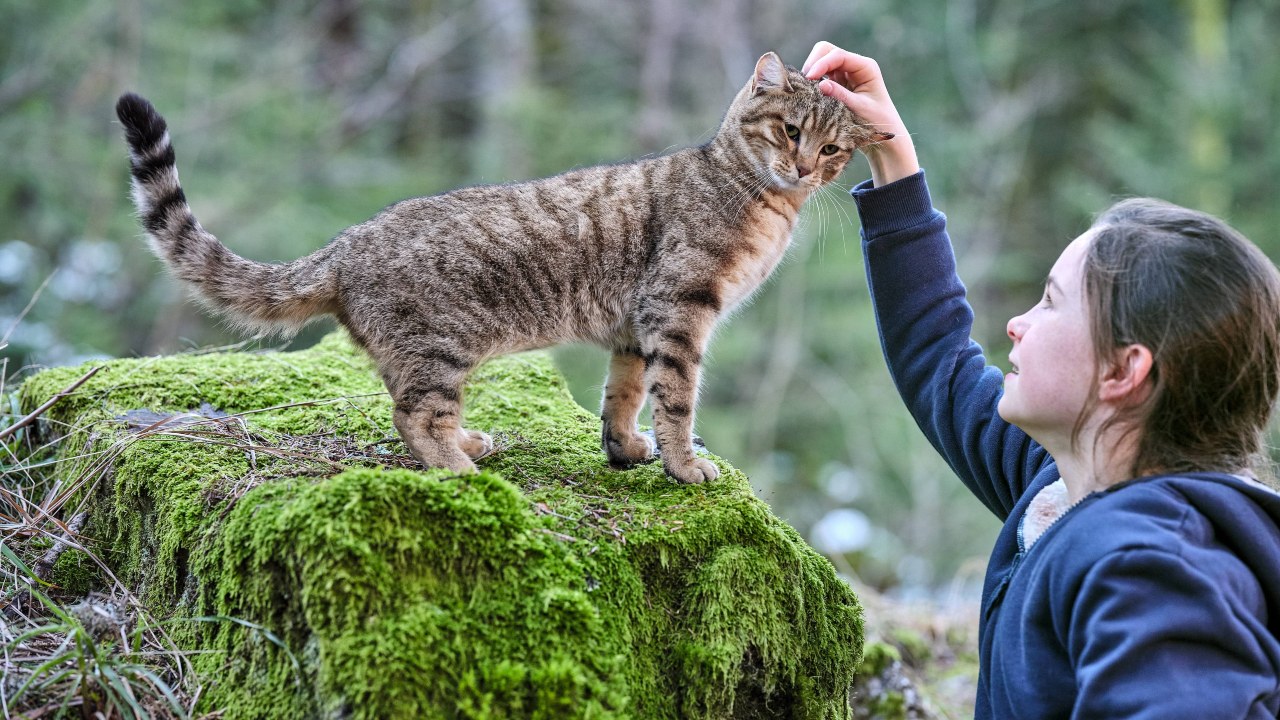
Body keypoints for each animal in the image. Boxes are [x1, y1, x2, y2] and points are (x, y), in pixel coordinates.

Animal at [117, 51, 890, 481]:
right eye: (790, 130)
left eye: (831, 151)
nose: (802, 167)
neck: (761, 199)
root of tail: (346, 243)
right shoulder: (679, 310)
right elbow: (676, 399)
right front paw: (681, 464)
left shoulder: (635, 328)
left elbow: (623, 396)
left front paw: (625, 450)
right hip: (439, 346)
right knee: (412, 416)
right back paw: (460, 469)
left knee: (412, 407)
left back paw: (469, 443)